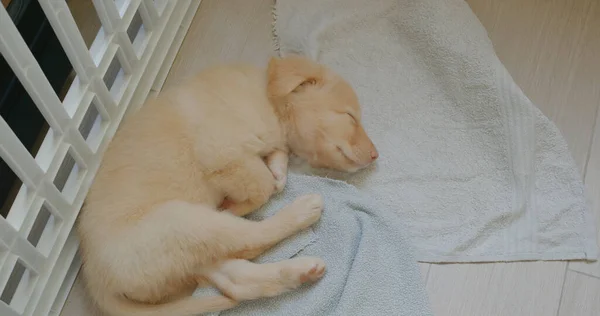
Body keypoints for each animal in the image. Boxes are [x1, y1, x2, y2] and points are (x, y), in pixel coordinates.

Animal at [77, 56, 378, 316]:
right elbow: (262, 185)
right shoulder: (223, 153)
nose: (376, 155)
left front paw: (278, 170)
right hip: (179, 221)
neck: (266, 98)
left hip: (180, 254)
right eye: (350, 116)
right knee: (251, 237)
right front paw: (242, 199)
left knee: (237, 280)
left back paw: (300, 271)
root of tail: (97, 281)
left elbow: (276, 162)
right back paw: (299, 212)